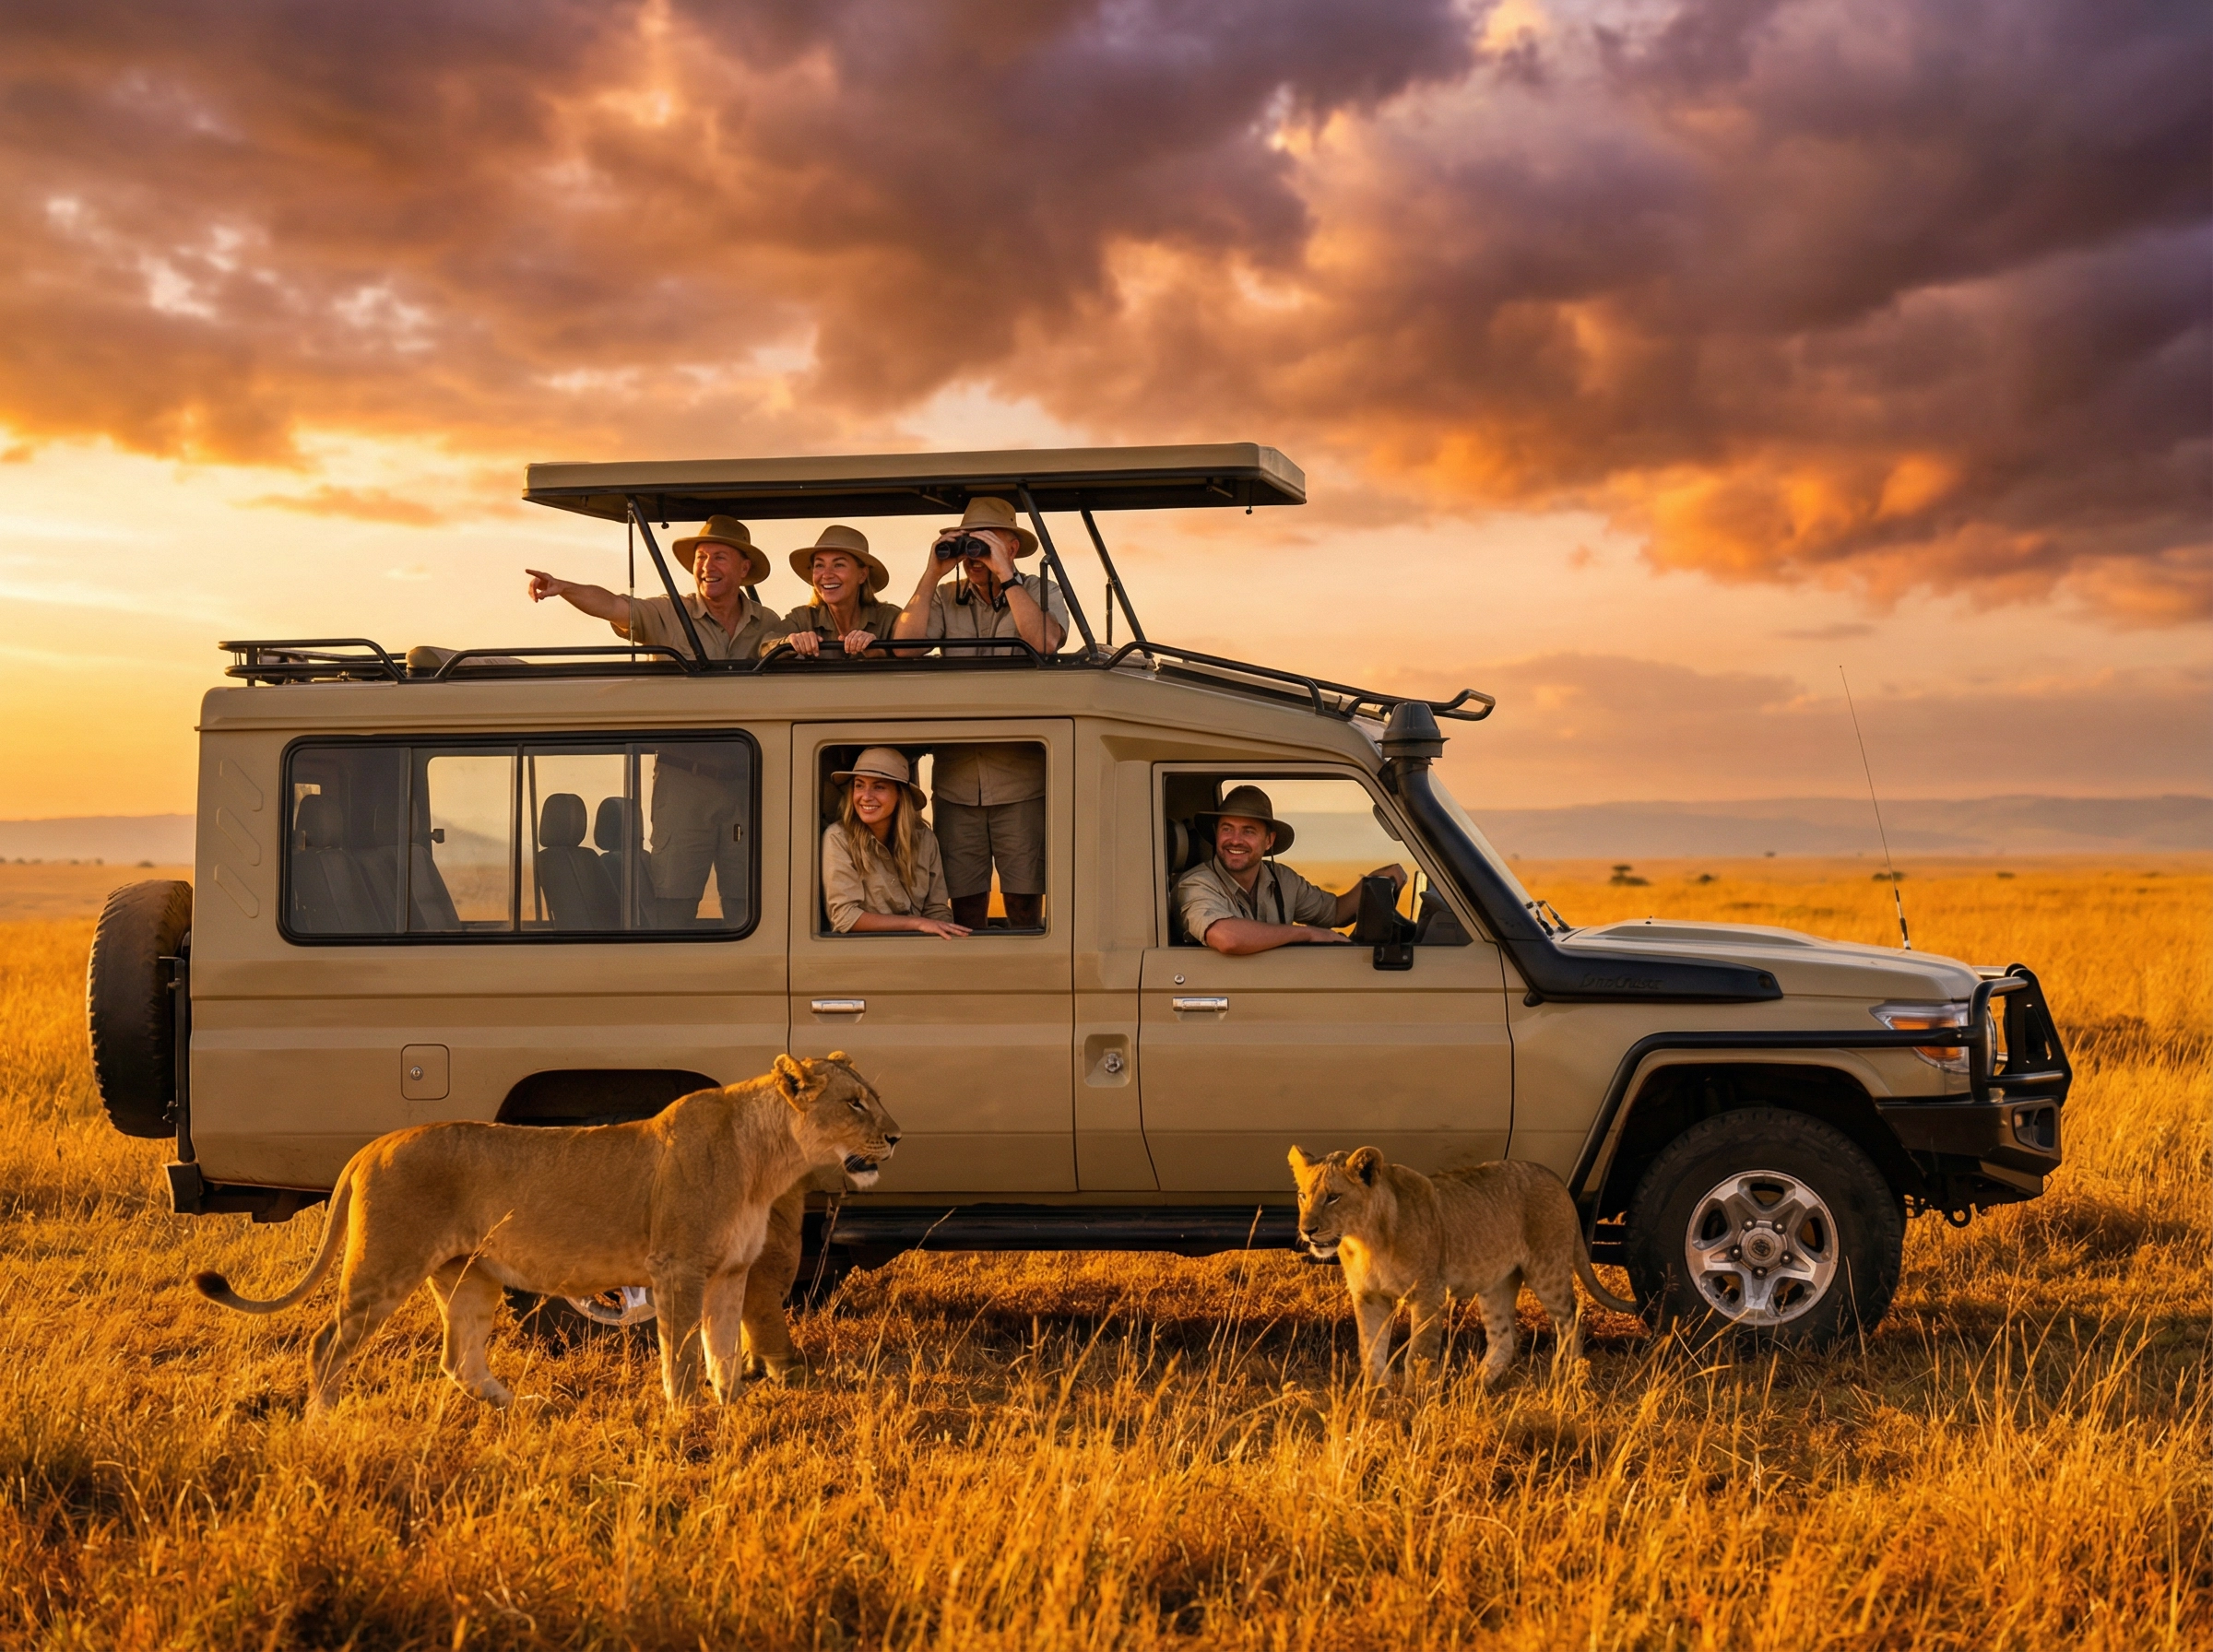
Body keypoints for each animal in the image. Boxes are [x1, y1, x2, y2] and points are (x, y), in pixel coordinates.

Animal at [193, 1053, 898, 1413]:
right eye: (855, 1102)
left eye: (874, 1095)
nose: (894, 1136)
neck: (767, 1160)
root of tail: (374, 1145)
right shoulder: (678, 1266)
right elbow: (681, 1351)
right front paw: (686, 1417)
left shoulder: (728, 1273)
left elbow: (723, 1348)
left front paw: (729, 1412)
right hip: (383, 1266)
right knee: (325, 1344)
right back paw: (325, 1421)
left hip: (469, 1278)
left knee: (457, 1358)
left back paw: (522, 1405)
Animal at [1288, 1145, 1639, 1388]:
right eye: (1303, 1195)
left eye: (1333, 1197)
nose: (1307, 1230)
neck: (1364, 1240)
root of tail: (1553, 1177)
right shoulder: (1369, 1297)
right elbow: (1370, 1351)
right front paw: (1377, 1400)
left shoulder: (1428, 1294)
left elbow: (1418, 1354)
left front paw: (1412, 1404)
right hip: (1497, 1283)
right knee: (1503, 1338)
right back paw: (1473, 1386)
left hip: (1547, 1269)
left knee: (1571, 1319)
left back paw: (1567, 1379)